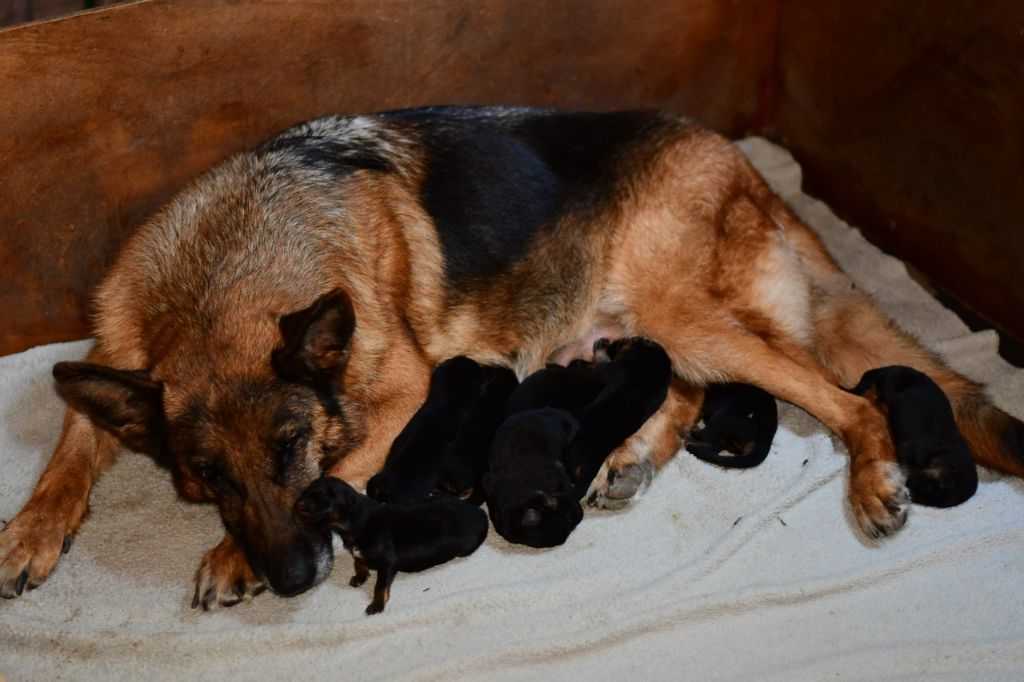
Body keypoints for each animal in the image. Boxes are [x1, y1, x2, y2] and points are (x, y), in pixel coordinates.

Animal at [296, 475, 487, 614]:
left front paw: (377, 605)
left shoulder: (389, 562)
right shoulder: (357, 552)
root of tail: (481, 513)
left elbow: (379, 585)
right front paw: (360, 577)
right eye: (308, 490)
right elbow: (358, 562)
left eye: (326, 496)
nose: (298, 504)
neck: (353, 522)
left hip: (464, 547)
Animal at [847, 366, 974, 503]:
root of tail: (889, 368)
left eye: (921, 498)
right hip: (890, 386)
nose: (908, 492)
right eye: (929, 484)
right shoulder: (912, 450)